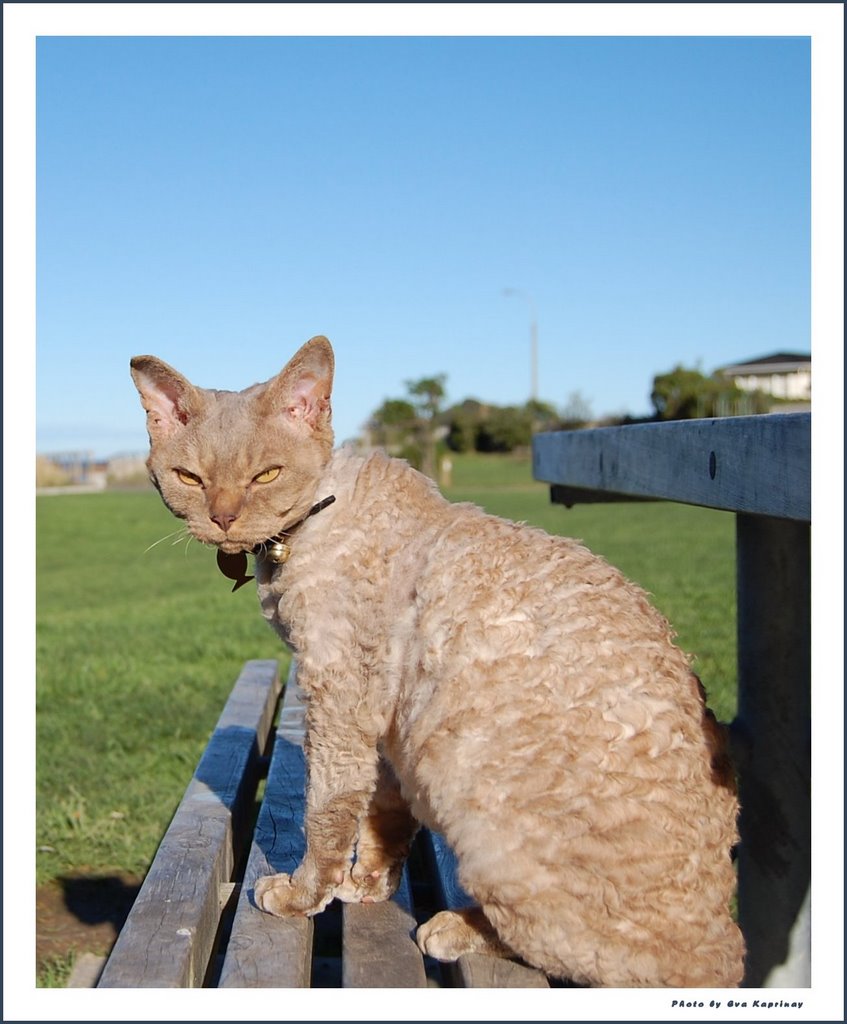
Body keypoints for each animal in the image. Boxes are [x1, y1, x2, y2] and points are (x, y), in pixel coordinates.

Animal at [129, 335, 745, 983]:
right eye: (189, 478)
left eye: (266, 474)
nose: (223, 519)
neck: (303, 532)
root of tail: (720, 938)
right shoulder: (385, 718)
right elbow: (384, 811)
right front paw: (369, 884)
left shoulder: (338, 694)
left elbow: (328, 809)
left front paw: (304, 894)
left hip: (474, 797)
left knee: (576, 950)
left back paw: (454, 928)